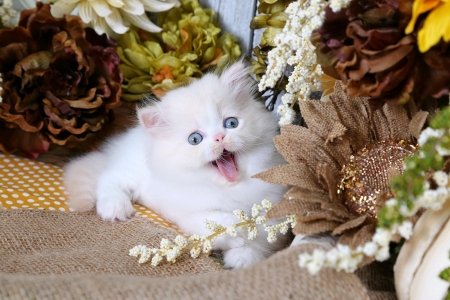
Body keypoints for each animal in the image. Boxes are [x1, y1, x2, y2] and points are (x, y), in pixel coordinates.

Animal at [64, 62, 288, 268]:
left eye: (231, 123)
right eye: (195, 139)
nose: (219, 137)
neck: (231, 187)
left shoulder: (273, 207)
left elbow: (263, 236)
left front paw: (243, 256)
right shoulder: (184, 210)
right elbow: (216, 221)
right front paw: (237, 232)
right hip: (132, 171)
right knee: (109, 177)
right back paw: (115, 207)